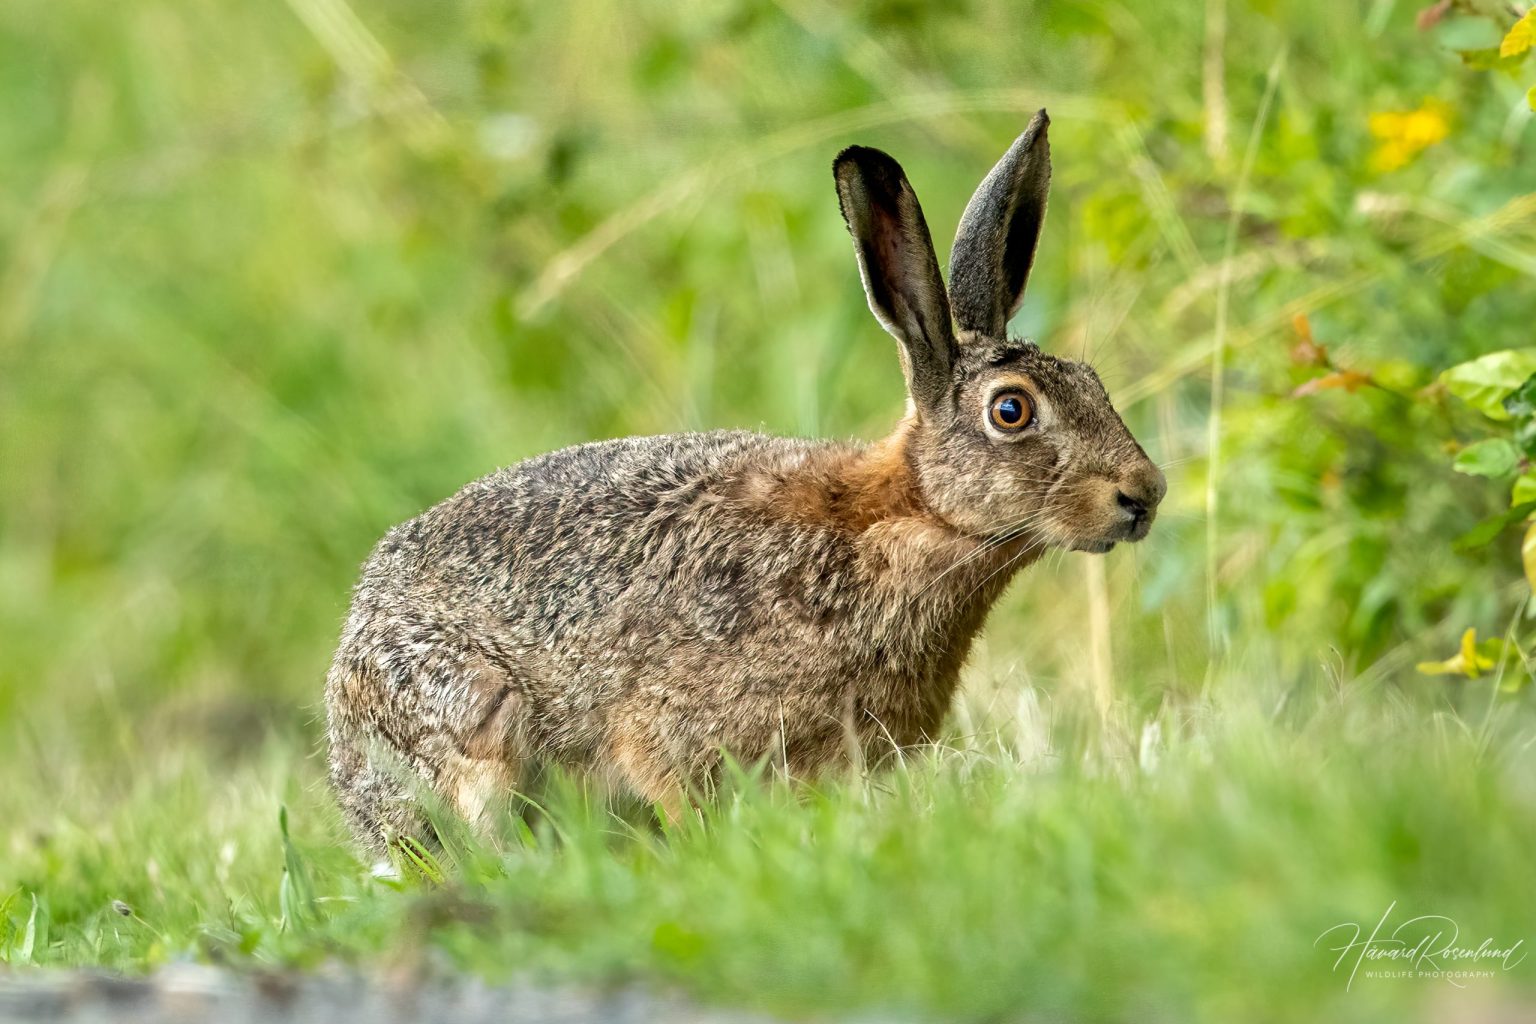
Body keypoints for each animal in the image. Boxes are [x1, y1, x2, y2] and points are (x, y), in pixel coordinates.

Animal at [325, 109, 1166, 849]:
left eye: (1092, 381)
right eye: (1011, 411)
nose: (1144, 493)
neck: (908, 516)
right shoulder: (672, 731)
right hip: (470, 719)